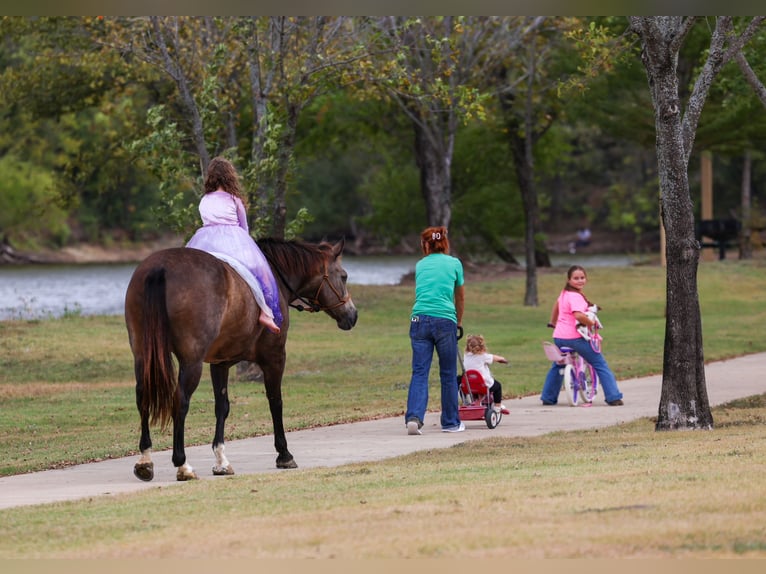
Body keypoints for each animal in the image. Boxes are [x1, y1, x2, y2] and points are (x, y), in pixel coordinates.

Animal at [124, 238, 358, 481]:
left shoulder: (220, 363)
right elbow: (275, 402)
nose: (353, 315)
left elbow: (222, 406)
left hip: (143, 354)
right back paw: (182, 464)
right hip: (191, 361)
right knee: (180, 399)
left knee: (142, 395)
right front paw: (284, 454)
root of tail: (161, 267)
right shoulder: (274, 357)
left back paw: (145, 459)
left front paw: (221, 461)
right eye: (343, 276)